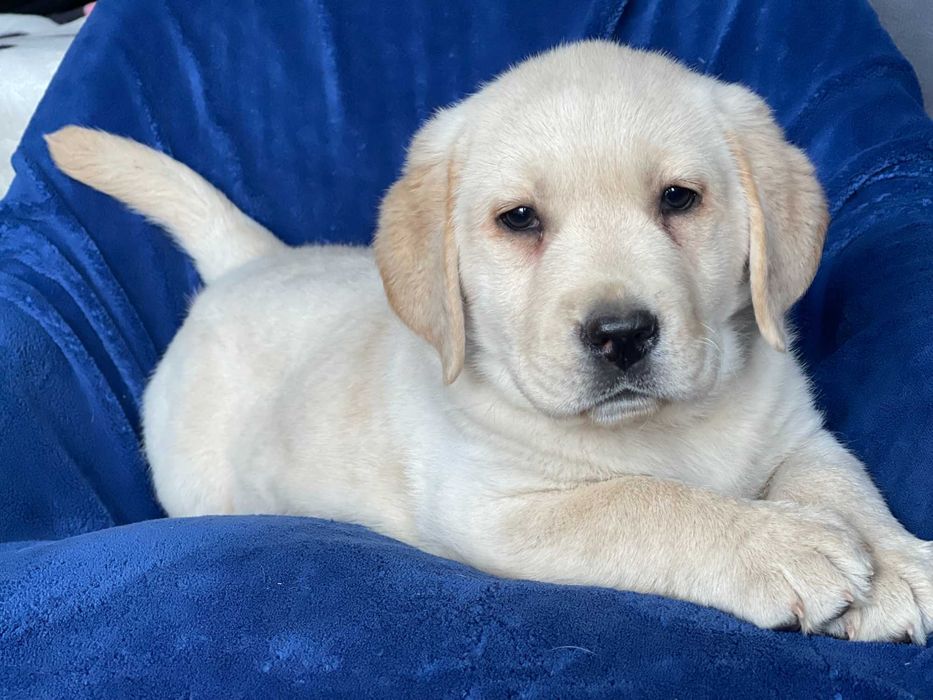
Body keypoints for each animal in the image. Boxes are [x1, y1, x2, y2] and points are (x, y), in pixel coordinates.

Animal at [49, 41, 932, 644]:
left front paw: (893, 564)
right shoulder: (499, 506)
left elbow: (840, 482)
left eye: (679, 199)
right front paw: (777, 545)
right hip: (196, 479)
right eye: (519, 220)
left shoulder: (798, 432)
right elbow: (640, 502)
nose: (620, 334)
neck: (657, 428)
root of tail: (250, 261)